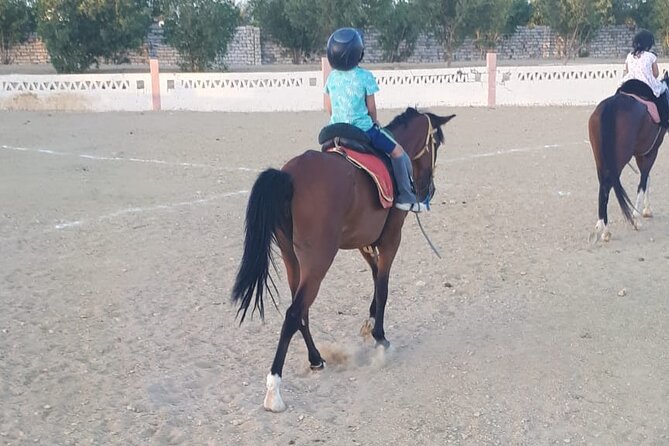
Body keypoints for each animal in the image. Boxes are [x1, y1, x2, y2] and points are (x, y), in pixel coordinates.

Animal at [232, 107, 455, 412]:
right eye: (438, 143)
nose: (427, 190)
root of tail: (289, 176)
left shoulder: (363, 240)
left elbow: (374, 276)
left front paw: (370, 322)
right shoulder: (391, 238)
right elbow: (383, 287)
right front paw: (380, 338)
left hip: (292, 259)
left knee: (301, 311)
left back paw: (316, 359)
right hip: (318, 260)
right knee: (294, 313)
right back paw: (274, 390)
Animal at [588, 76, 668, 241]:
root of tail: (612, 104)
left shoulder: (641, 154)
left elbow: (647, 179)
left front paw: (646, 210)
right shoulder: (651, 152)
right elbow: (643, 181)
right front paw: (637, 216)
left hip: (600, 160)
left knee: (602, 186)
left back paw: (600, 226)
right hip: (619, 160)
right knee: (607, 186)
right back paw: (606, 230)